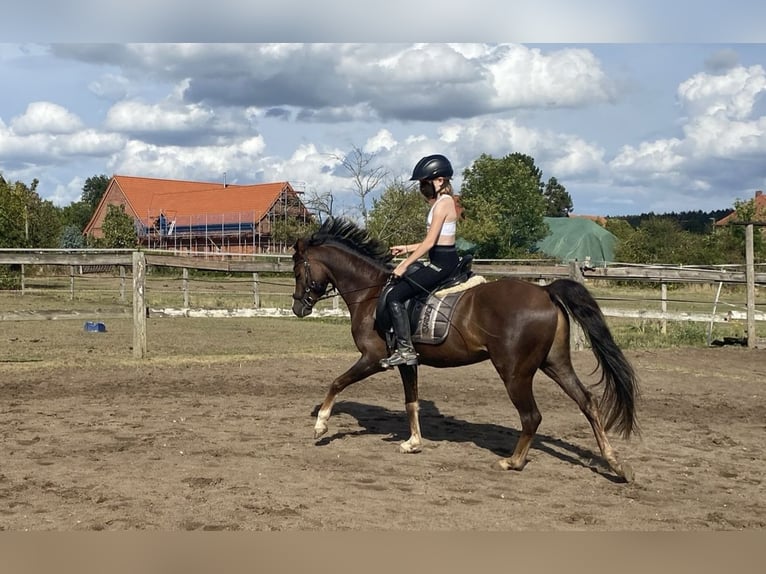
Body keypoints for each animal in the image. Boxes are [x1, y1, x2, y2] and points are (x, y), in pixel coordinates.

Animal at [294, 218, 640, 484]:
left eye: (298, 271)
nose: (299, 308)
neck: (371, 293)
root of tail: (545, 291)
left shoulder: (374, 359)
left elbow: (337, 382)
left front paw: (321, 424)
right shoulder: (407, 361)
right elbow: (411, 401)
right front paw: (414, 443)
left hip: (514, 372)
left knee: (532, 416)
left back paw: (513, 461)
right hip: (555, 363)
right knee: (588, 402)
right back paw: (616, 464)